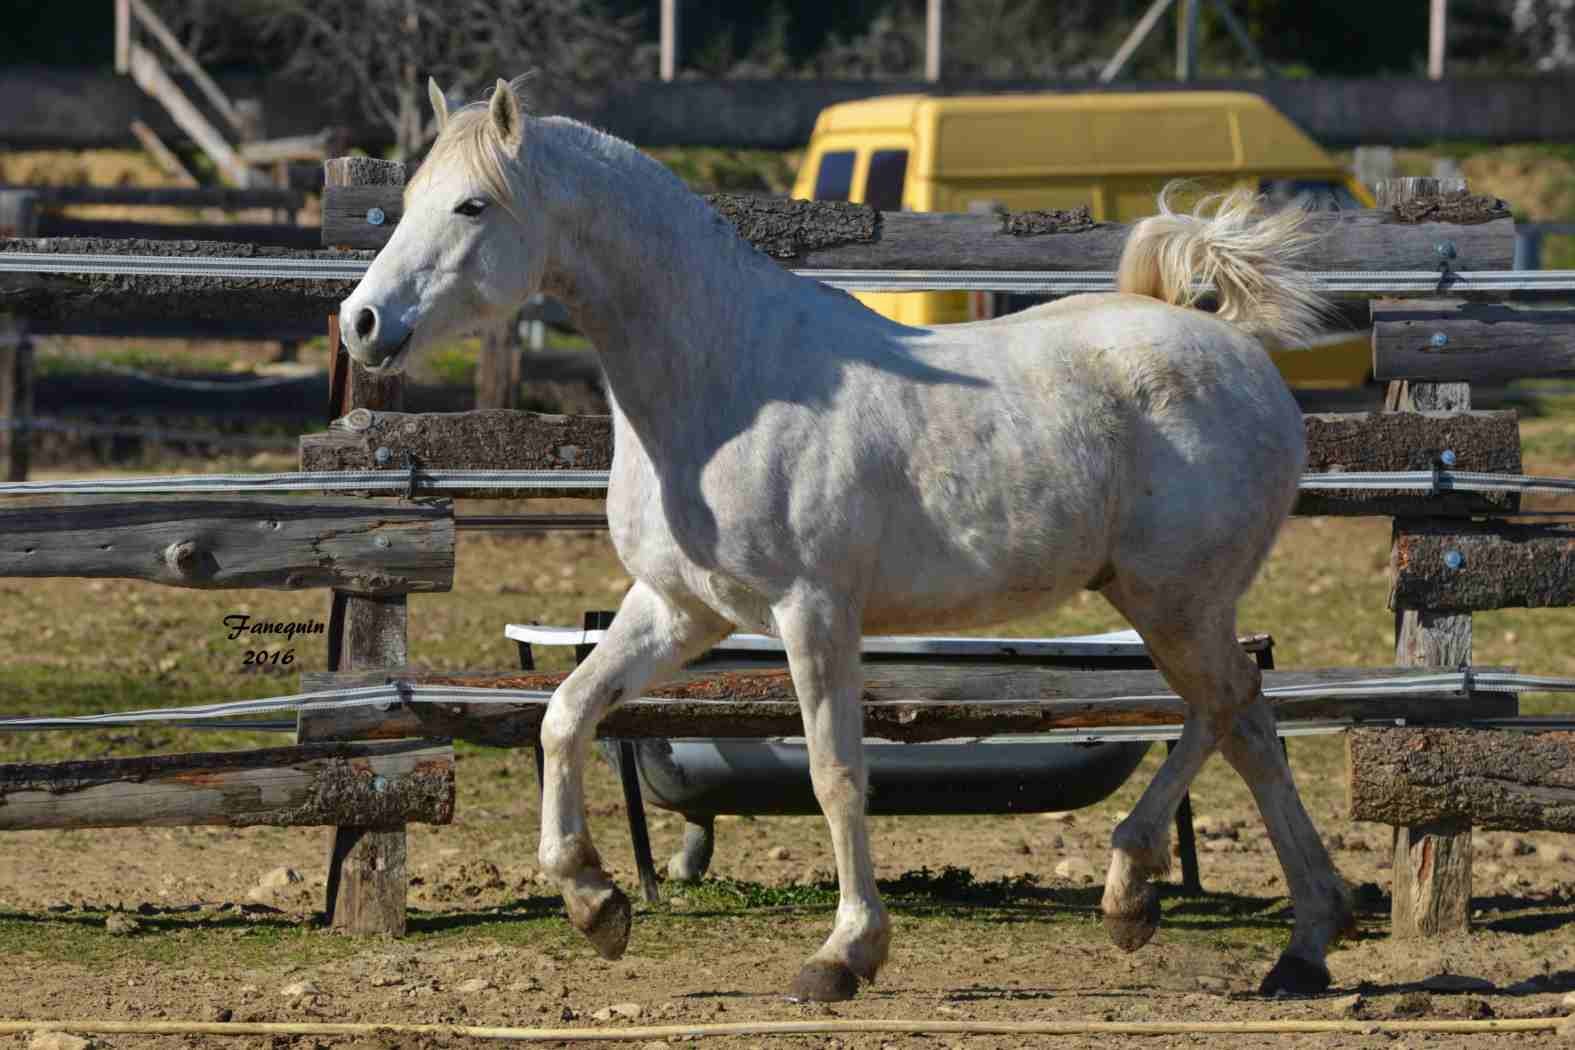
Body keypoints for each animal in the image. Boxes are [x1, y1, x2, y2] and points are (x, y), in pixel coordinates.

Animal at [344, 75, 1354, 1001]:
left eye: (471, 204)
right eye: (409, 197)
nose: (361, 322)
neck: (725, 382)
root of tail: (1228, 346)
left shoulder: (813, 611)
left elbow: (834, 772)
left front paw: (843, 955)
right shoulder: (678, 611)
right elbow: (565, 713)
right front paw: (597, 906)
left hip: (1174, 599)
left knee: (1229, 709)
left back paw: (1173, 903)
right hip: (1171, 603)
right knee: (1242, 721)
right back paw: (1272, 936)